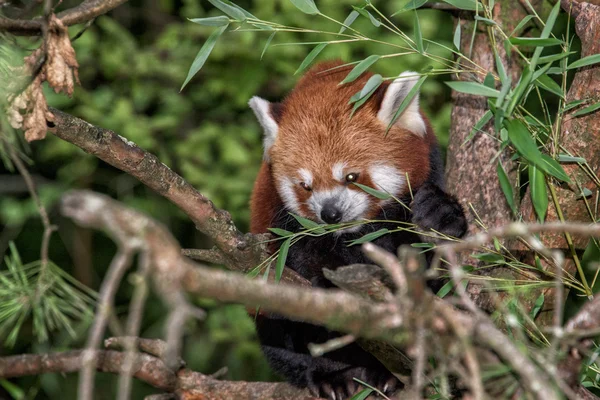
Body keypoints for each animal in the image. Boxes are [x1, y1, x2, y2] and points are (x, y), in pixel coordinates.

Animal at [246, 60, 466, 400]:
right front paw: (332, 285)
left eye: (351, 176)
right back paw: (333, 375)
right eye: (305, 186)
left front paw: (439, 216)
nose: (330, 213)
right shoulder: (279, 220)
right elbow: (300, 260)